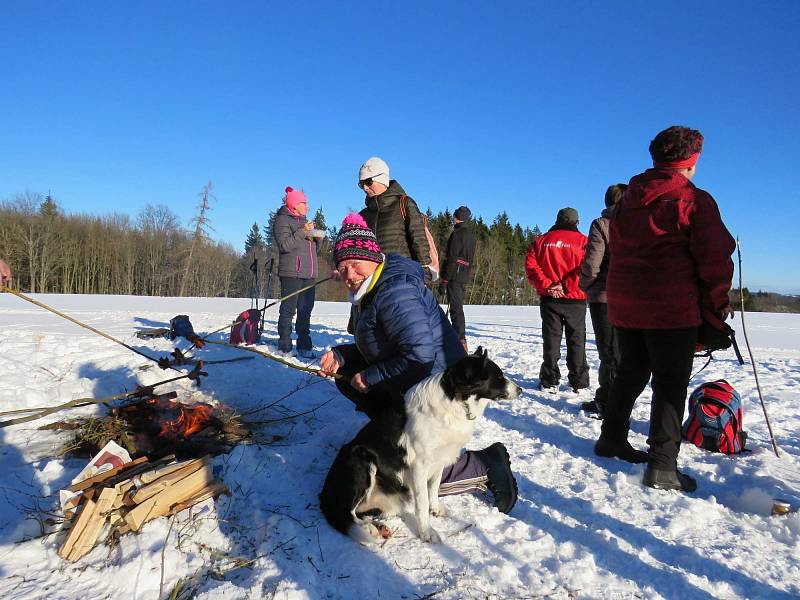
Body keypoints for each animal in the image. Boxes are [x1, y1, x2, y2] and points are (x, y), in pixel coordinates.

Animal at [318, 346, 520, 544]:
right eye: (499, 377)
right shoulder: (419, 466)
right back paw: (369, 529)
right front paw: (426, 533)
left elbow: (434, 489)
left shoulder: (439, 460)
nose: (520, 391)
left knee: (361, 513)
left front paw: (435, 508)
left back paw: (378, 527)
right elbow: (422, 504)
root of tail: (325, 495)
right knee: (346, 513)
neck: (455, 401)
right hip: (361, 460)